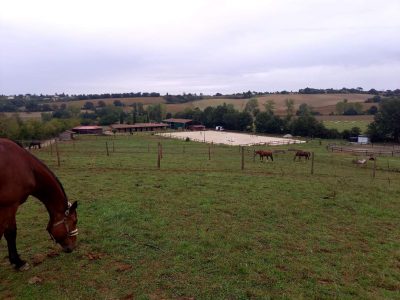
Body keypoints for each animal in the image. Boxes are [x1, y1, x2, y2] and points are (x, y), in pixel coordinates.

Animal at [0, 138, 77, 270]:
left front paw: (17, 262)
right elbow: (9, 233)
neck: (27, 167)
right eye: (75, 221)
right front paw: (19, 262)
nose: (72, 247)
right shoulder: (9, 206)